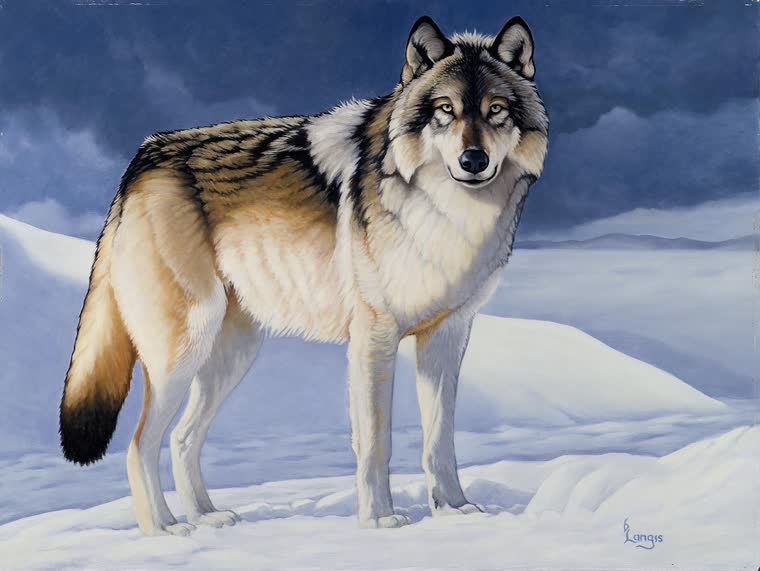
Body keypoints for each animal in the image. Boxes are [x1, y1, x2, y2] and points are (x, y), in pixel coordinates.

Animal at [59, 15, 548, 536]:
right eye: (445, 110)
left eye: (496, 111)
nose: (473, 161)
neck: (447, 214)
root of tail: (143, 157)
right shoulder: (375, 338)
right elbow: (376, 441)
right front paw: (379, 520)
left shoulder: (447, 337)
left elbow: (441, 439)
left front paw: (454, 510)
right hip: (182, 352)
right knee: (139, 445)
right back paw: (164, 531)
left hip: (231, 357)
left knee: (182, 438)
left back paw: (208, 517)